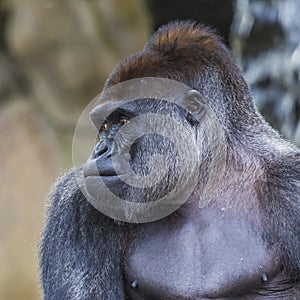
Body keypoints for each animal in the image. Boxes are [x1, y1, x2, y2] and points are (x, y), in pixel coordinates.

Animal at [40, 19, 300, 298]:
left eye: (123, 121)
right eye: (105, 126)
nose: (100, 150)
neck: (202, 184)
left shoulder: (291, 182)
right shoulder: (76, 203)